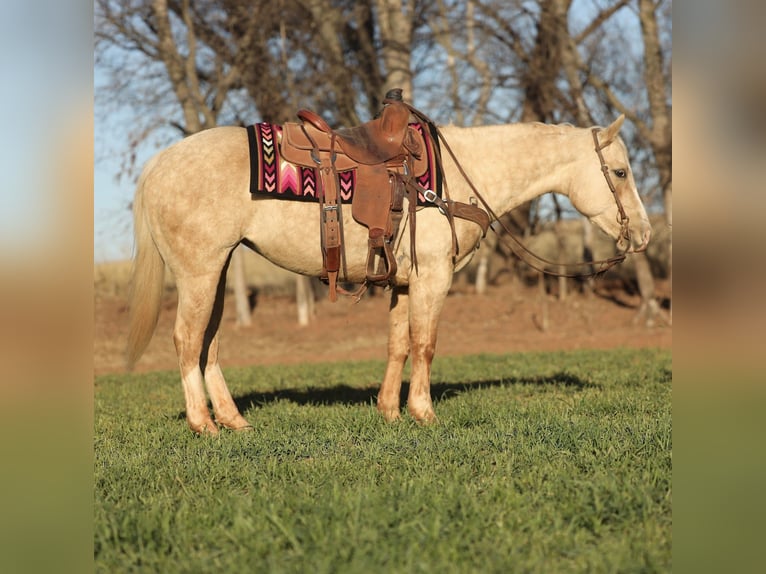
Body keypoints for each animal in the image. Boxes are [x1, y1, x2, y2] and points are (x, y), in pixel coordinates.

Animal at [127, 113, 651, 434]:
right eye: (621, 172)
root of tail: (158, 164)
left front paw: (390, 412)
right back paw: (203, 424)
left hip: (217, 271)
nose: (644, 234)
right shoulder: (432, 278)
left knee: (209, 343)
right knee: (186, 339)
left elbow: (398, 344)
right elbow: (425, 343)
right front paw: (424, 413)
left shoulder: (403, 282)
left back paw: (234, 421)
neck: (454, 178)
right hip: (199, 272)